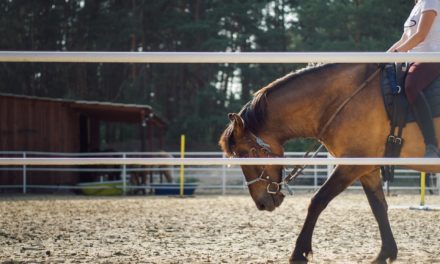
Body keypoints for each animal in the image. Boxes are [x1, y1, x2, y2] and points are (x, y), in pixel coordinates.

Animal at [219, 63, 440, 262]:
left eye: (246, 153)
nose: (262, 203)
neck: (345, 99)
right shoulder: (367, 170)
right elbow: (378, 208)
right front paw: (385, 254)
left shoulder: (352, 165)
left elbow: (318, 201)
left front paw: (299, 253)